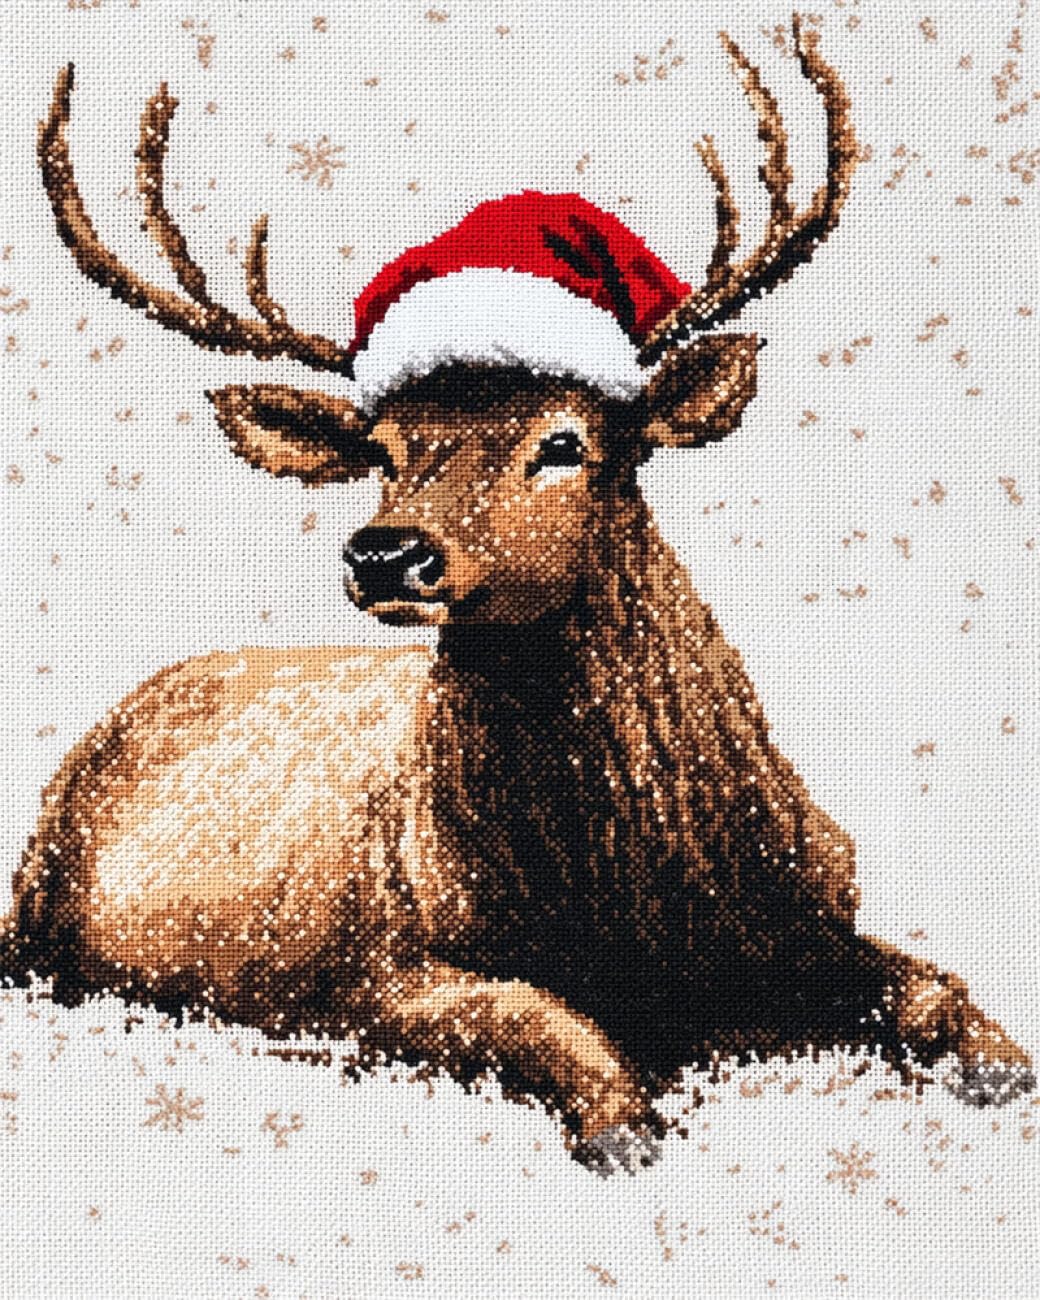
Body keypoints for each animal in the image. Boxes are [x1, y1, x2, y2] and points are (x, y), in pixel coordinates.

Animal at [3, 20, 1031, 1175]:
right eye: (383, 452)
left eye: (565, 442)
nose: (385, 555)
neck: (641, 918)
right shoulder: (374, 974)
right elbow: (548, 1023)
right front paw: (624, 1126)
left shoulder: (813, 910)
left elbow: (931, 988)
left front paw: (1003, 1064)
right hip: (41, 901)